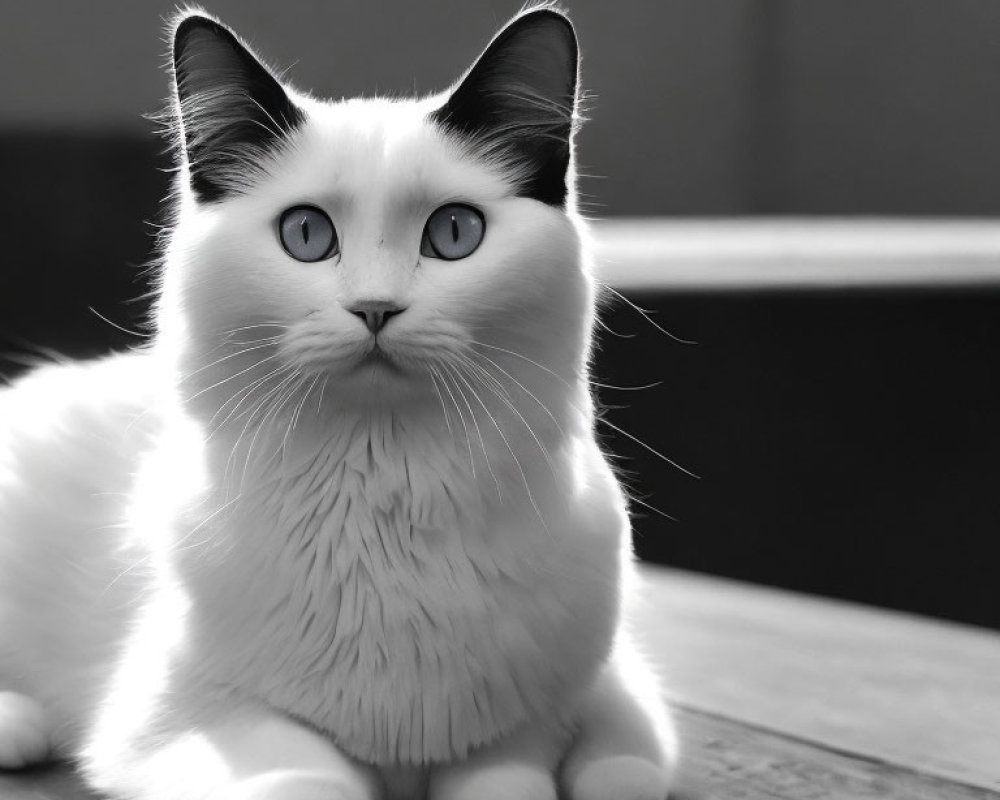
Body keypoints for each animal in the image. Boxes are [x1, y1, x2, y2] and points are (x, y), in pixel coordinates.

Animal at [0, 6, 680, 800]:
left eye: (454, 232)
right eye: (306, 234)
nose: (375, 308)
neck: (385, 506)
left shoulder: (552, 711)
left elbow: (579, 762)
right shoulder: (181, 720)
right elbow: (312, 778)